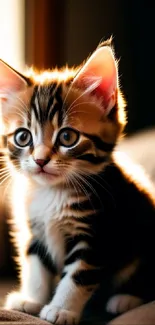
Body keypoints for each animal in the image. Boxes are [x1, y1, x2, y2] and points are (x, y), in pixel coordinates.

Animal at [0, 41, 155, 324]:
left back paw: (125, 299)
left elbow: (78, 275)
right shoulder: (35, 230)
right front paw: (32, 300)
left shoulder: (98, 232)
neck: (52, 192)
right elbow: (36, 267)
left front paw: (61, 309)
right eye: (22, 137)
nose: (40, 160)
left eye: (67, 137)